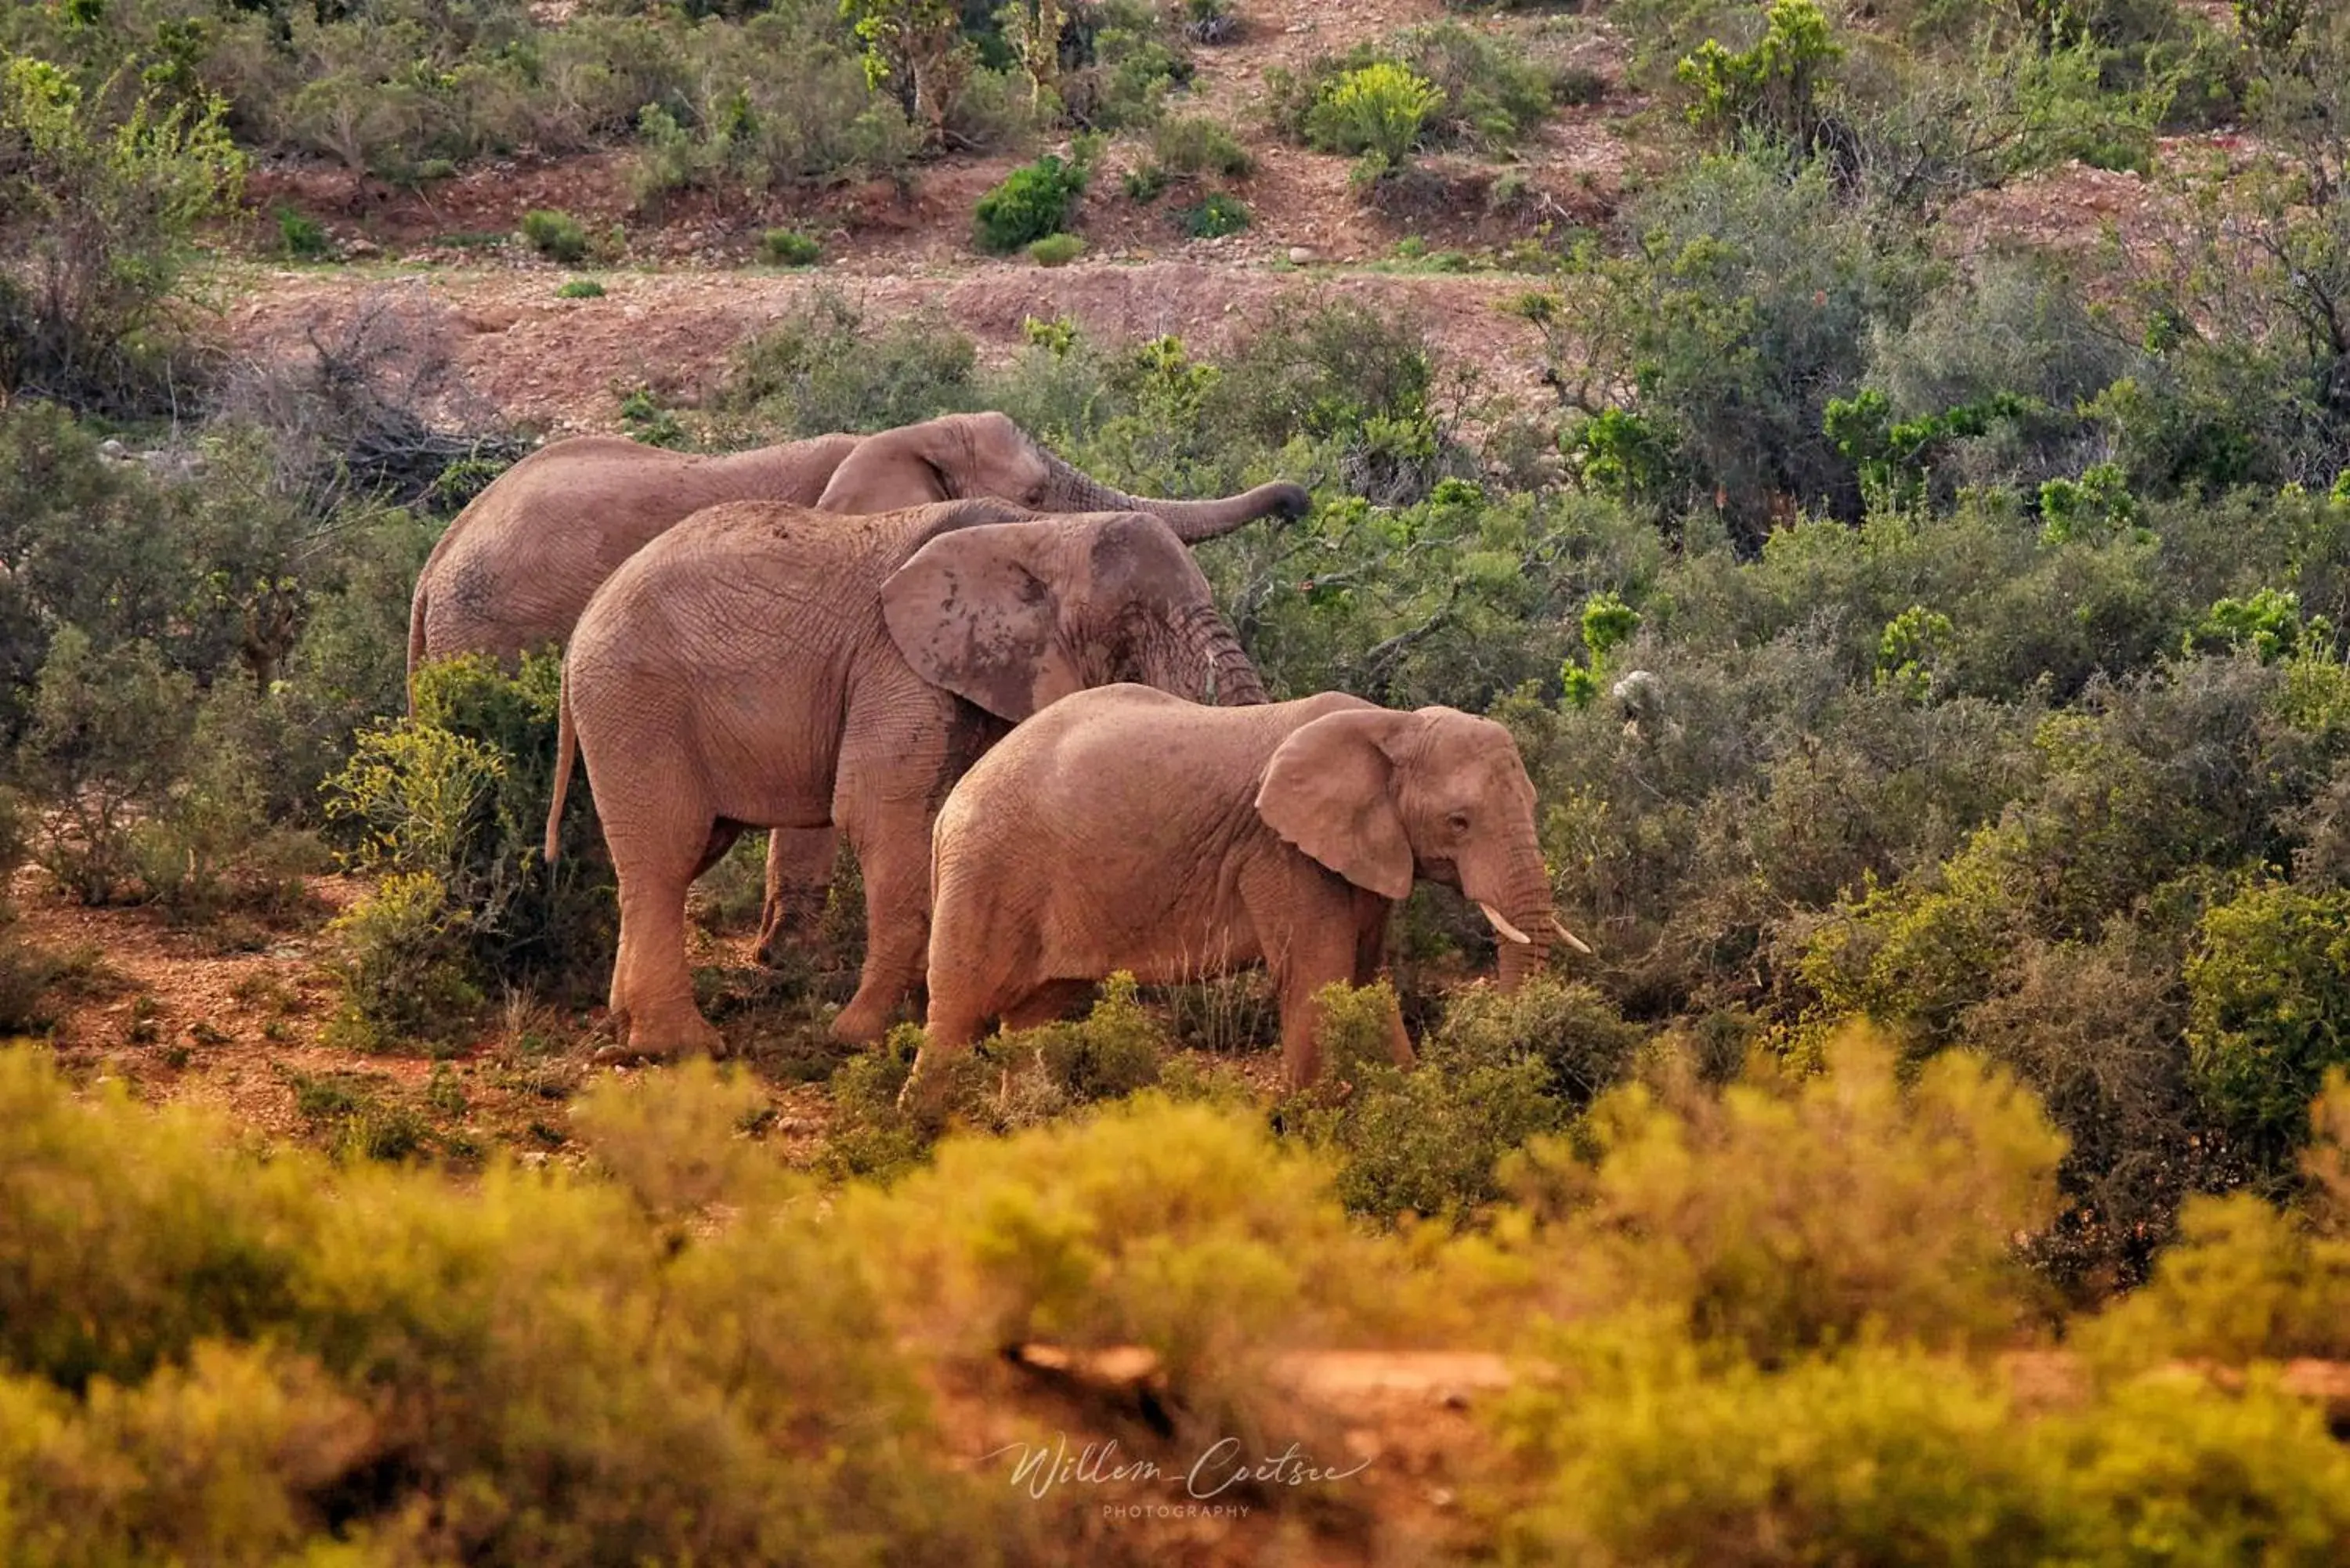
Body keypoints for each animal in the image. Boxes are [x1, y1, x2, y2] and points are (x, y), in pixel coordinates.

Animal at [907, 681, 1589, 1100]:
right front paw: (1315, 1122)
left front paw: (1413, 1099)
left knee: (1035, 1017)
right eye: (1459, 822)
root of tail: (947, 811)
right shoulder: (1283, 854)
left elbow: (1366, 981)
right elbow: (1320, 978)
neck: (1392, 724)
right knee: (958, 1012)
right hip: (987, 871)